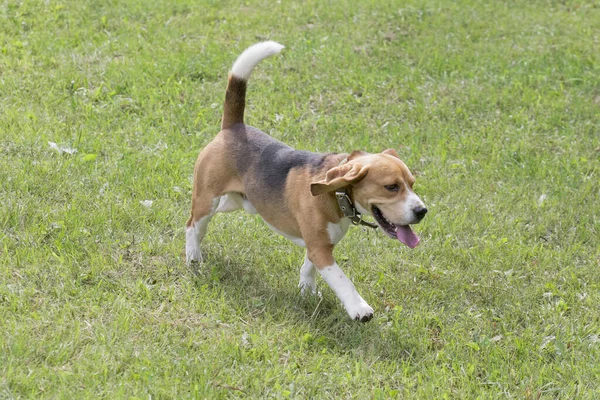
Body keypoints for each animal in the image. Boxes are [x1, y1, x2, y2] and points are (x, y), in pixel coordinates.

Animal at [188, 41, 426, 322]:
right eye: (391, 187)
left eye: (412, 184)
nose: (422, 211)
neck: (336, 196)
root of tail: (233, 127)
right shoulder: (322, 251)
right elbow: (342, 280)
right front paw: (359, 308)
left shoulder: (318, 244)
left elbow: (308, 269)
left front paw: (307, 292)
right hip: (207, 200)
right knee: (192, 226)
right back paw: (193, 258)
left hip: (234, 202)